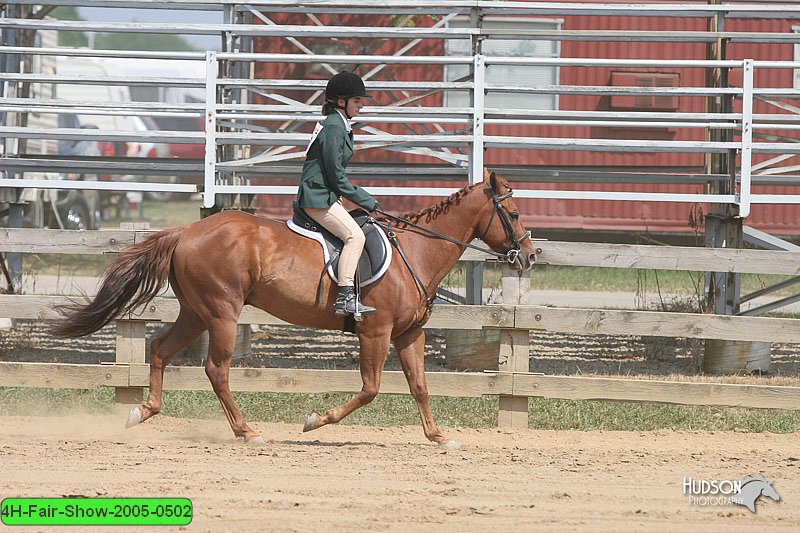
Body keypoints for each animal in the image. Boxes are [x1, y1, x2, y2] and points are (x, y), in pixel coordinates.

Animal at [53, 172, 536, 446]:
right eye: (512, 213)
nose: (530, 256)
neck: (414, 252)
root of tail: (186, 231)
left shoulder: (407, 334)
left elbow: (419, 386)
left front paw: (437, 436)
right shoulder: (375, 332)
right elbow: (370, 389)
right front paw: (314, 421)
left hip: (195, 313)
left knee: (159, 350)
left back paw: (143, 412)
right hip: (221, 313)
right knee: (216, 370)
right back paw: (246, 431)